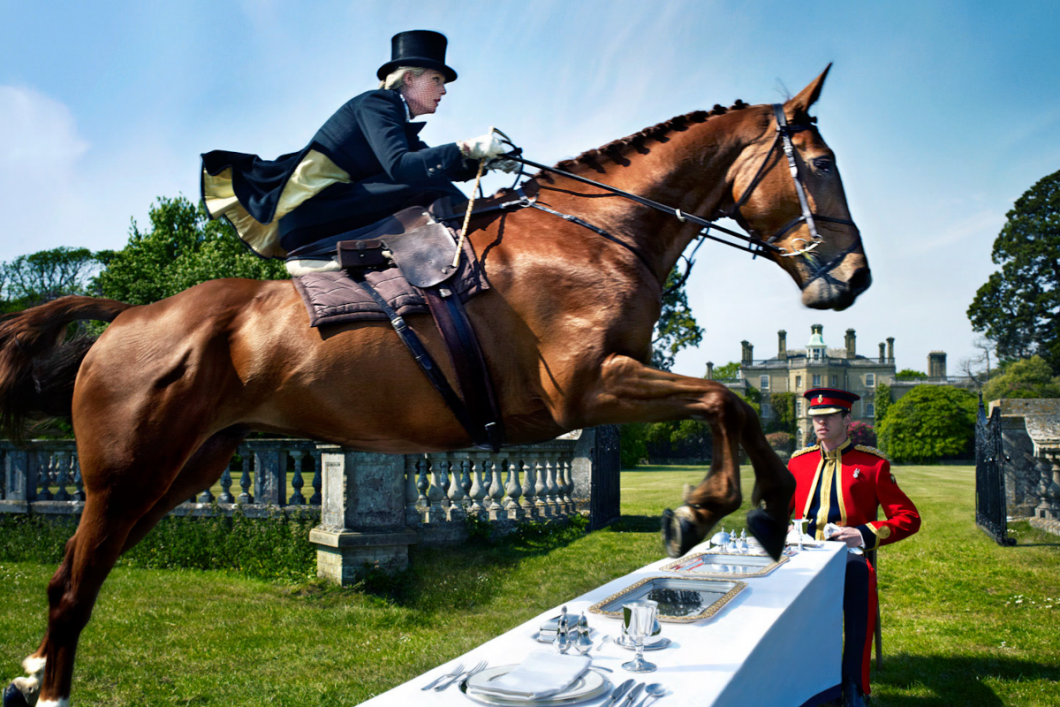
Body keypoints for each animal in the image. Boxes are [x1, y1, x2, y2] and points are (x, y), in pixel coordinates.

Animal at [0, 64, 864, 703]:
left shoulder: (607, 383)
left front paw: (756, 517)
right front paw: (716, 513)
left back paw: (35, 675)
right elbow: (726, 398)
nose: (853, 278)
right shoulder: (586, 388)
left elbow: (733, 407)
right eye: (821, 166)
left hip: (182, 469)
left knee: (75, 573)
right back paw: (49, 688)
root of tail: (127, 315)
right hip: (128, 475)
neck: (595, 236)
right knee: (72, 585)